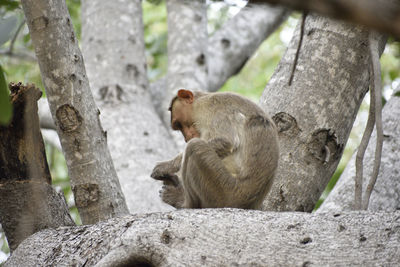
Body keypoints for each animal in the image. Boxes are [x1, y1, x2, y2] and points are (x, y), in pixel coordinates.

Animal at [152, 89, 280, 210]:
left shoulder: (212, 108)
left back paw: (184, 203)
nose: (187, 138)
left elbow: (226, 140)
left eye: (179, 123)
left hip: (225, 192)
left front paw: (167, 166)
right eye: (178, 127)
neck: (200, 101)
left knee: (194, 146)